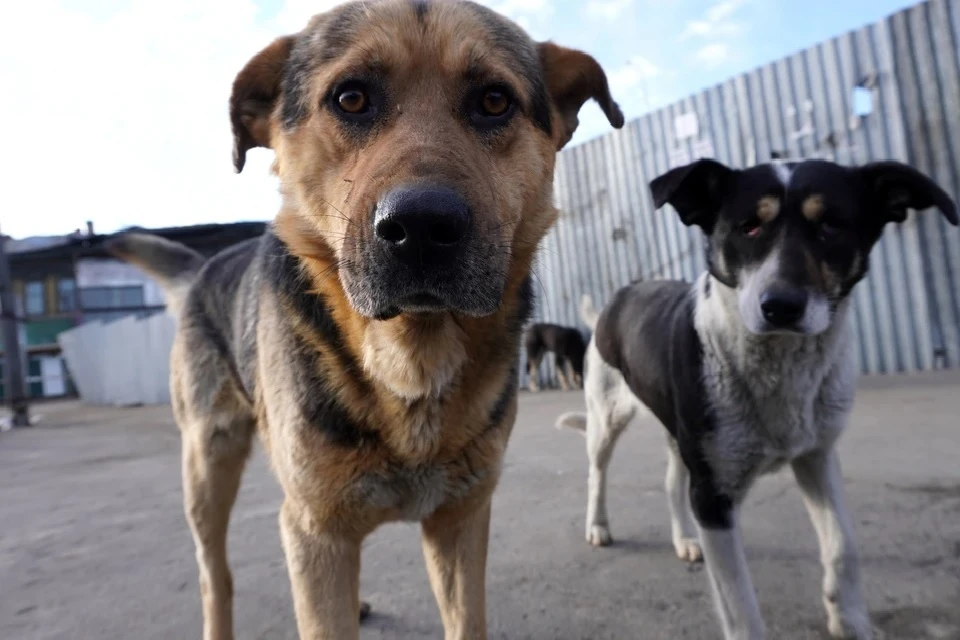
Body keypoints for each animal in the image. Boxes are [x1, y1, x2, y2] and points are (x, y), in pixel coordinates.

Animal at [105, 1, 624, 640]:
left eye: (494, 100)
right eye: (351, 98)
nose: (422, 227)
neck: (410, 362)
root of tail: (206, 266)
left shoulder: (460, 520)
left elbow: (465, 618)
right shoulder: (315, 530)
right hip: (207, 466)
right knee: (215, 576)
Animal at [560, 156, 956, 640]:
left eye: (830, 225)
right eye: (748, 226)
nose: (781, 305)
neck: (779, 363)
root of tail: (616, 299)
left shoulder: (817, 456)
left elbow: (843, 545)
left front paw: (849, 620)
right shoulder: (713, 496)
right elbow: (741, 608)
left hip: (680, 433)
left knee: (672, 481)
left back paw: (684, 539)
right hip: (606, 416)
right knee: (597, 473)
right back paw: (598, 526)